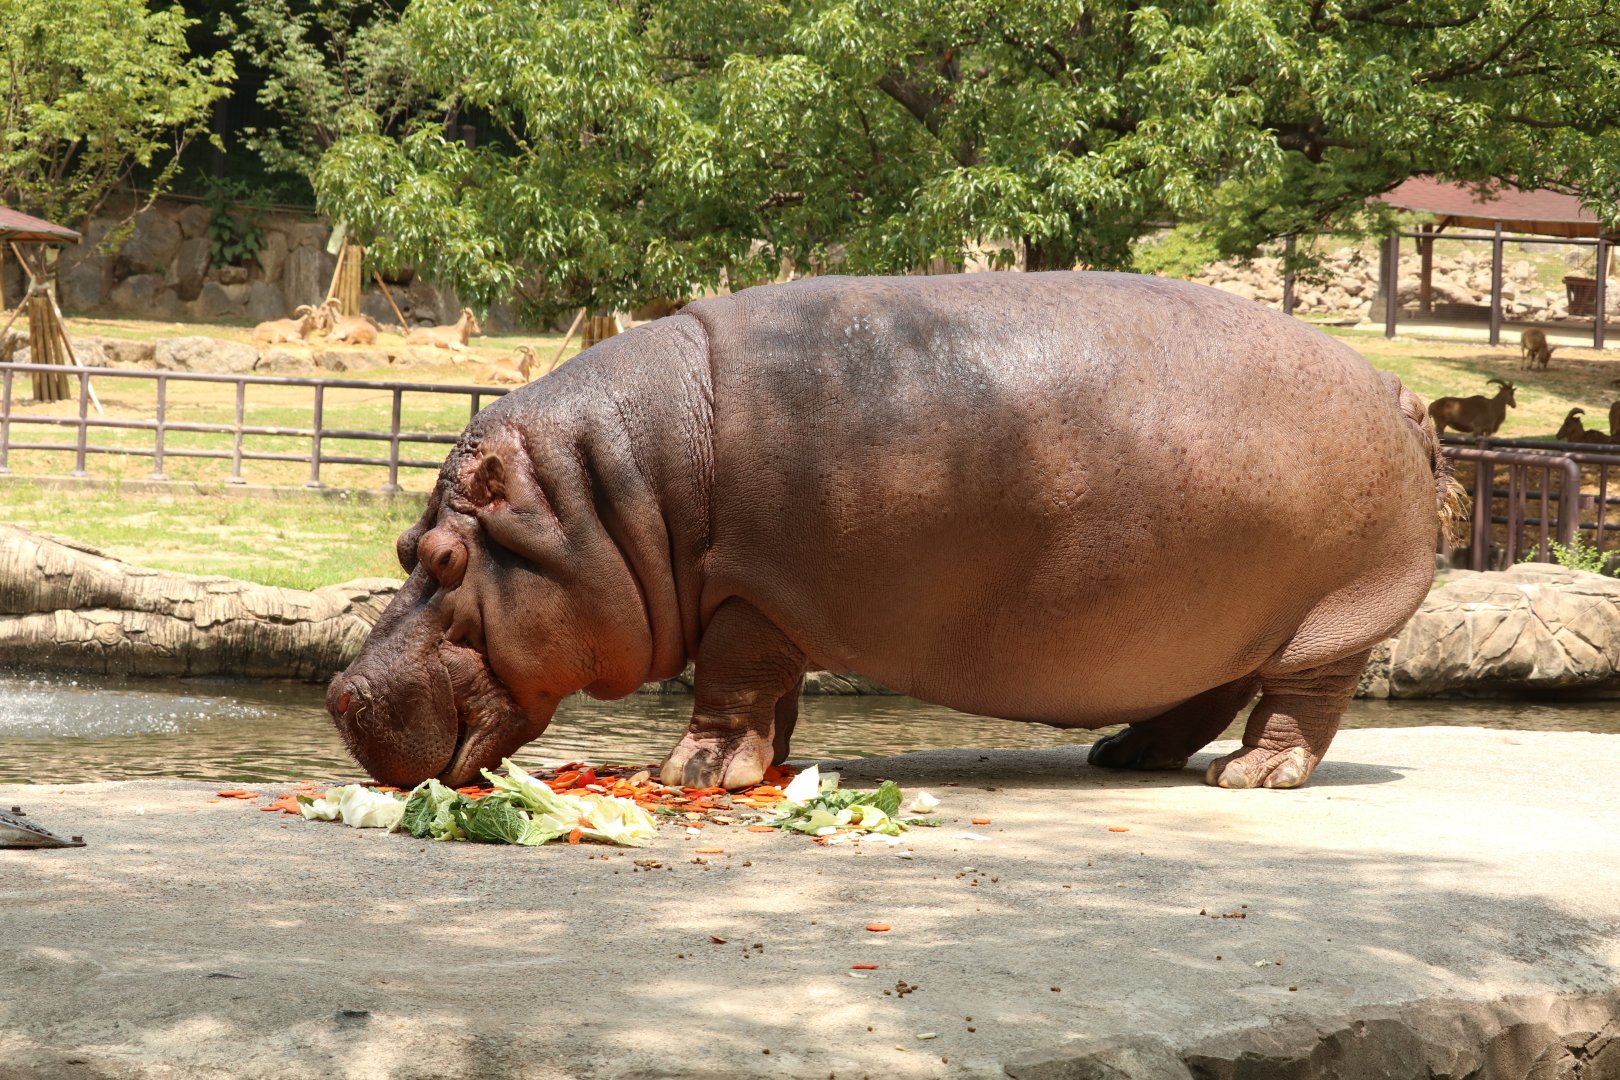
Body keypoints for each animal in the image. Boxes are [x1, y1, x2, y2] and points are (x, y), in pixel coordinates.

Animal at [328, 272, 1455, 793]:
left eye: (444, 558)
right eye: (404, 551)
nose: (340, 696)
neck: (610, 496)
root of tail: (1398, 392)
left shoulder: (750, 594)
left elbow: (728, 684)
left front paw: (685, 775)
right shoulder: (770, 600)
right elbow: (772, 695)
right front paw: (763, 766)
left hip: (1327, 616)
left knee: (1300, 702)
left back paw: (1250, 776)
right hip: (1212, 618)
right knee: (1206, 691)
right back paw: (1125, 754)